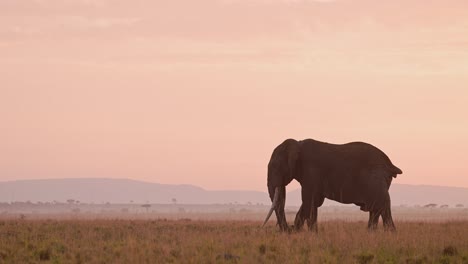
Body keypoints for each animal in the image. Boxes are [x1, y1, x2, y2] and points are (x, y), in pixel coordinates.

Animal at [264, 138, 402, 231]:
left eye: (275, 167)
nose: (288, 228)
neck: (298, 144)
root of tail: (390, 165)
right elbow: (313, 202)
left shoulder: (311, 172)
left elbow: (309, 202)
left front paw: (309, 235)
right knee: (379, 210)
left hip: (375, 182)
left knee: (381, 208)